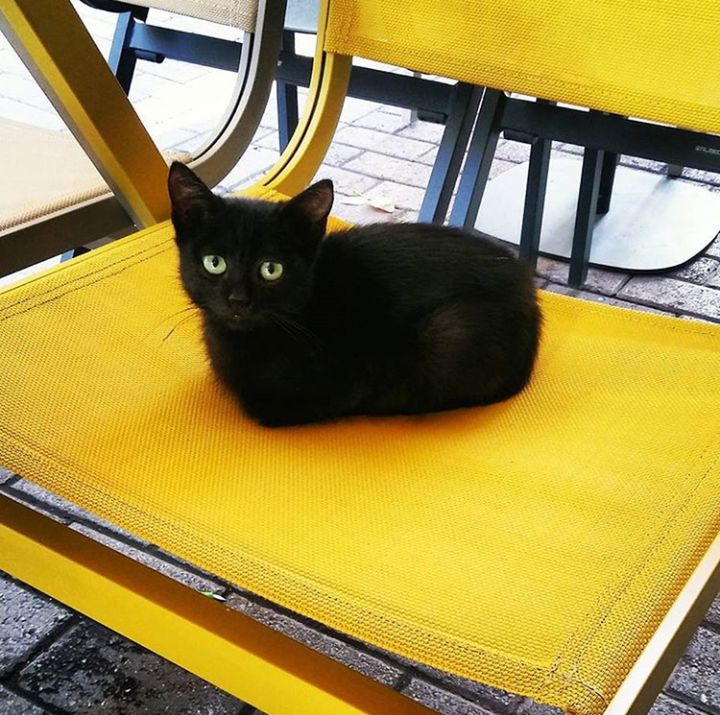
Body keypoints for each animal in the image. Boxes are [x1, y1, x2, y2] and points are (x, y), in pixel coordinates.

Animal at [167, 164, 540, 426]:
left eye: (271, 269)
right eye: (214, 262)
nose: (238, 301)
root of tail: (529, 295)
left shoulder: (352, 381)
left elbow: (263, 407)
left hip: (448, 332)